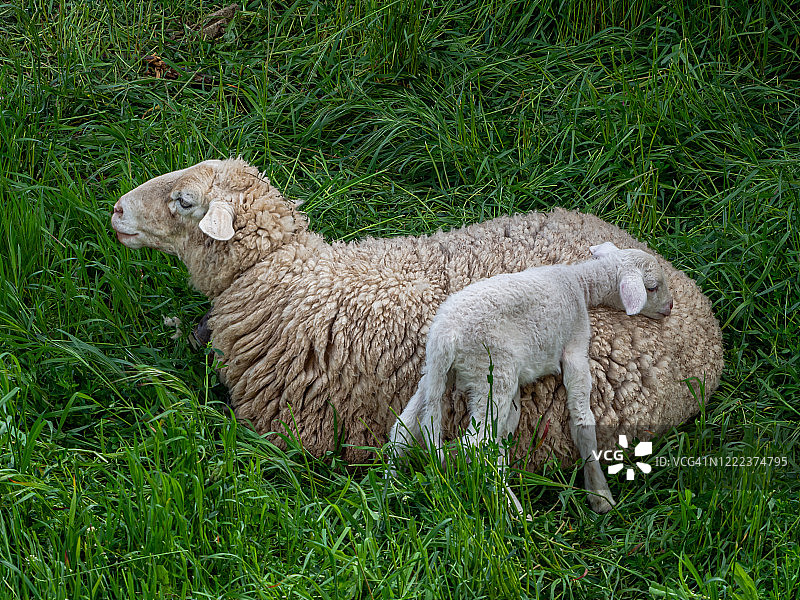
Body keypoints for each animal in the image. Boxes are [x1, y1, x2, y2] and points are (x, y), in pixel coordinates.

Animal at [388, 241, 676, 512]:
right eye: (652, 288)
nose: (670, 307)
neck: (578, 282)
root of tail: (445, 337)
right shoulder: (575, 344)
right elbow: (583, 419)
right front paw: (599, 494)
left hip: (437, 374)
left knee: (404, 426)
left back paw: (394, 486)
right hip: (492, 371)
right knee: (477, 445)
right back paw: (512, 509)